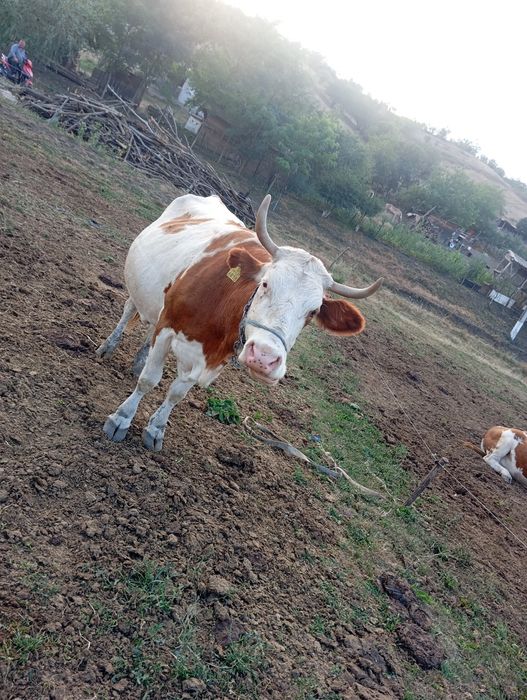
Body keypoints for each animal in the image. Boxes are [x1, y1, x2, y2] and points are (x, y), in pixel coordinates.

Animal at [96, 193, 382, 451]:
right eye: (265, 283)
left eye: (313, 311)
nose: (265, 358)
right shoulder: (168, 326)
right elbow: (149, 380)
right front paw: (121, 419)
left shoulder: (203, 357)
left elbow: (177, 392)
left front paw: (156, 430)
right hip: (141, 291)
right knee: (129, 310)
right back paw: (108, 347)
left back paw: (139, 360)